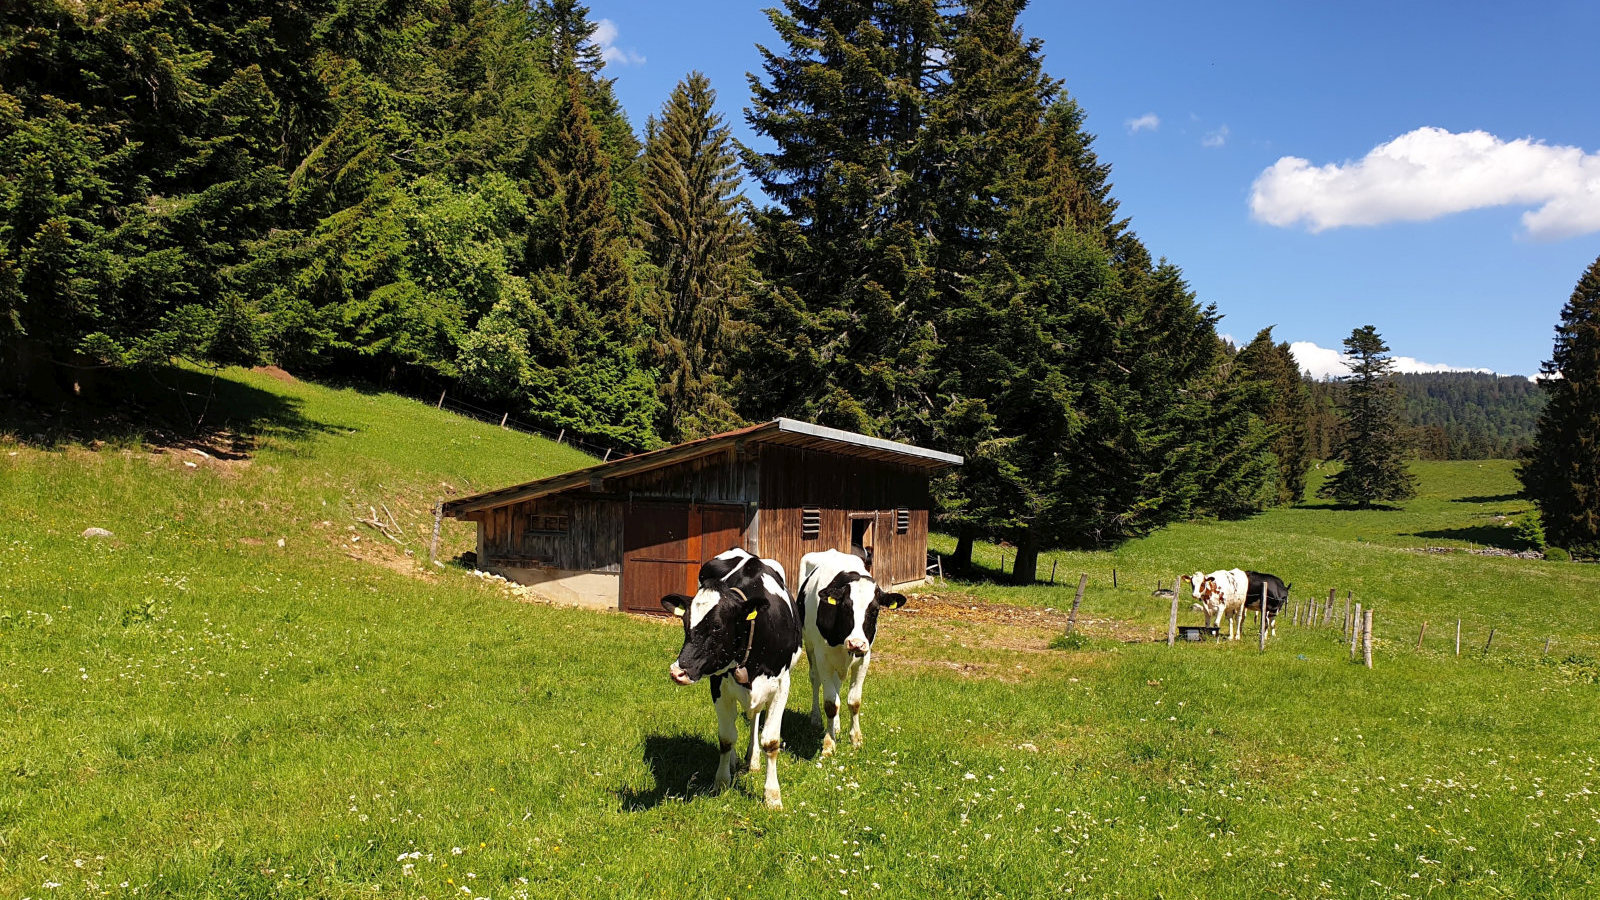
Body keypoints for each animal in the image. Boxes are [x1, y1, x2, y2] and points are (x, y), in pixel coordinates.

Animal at [659, 544, 800, 810]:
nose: (677, 671)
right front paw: (722, 782)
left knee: (755, 717)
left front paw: (772, 796)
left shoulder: (781, 685)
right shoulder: (717, 684)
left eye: (717, 626)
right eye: (685, 623)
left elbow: (771, 742)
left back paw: (752, 759)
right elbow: (726, 738)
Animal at [796, 547, 908, 749]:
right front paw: (829, 744)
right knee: (815, 680)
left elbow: (853, 701)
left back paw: (836, 726)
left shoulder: (864, 658)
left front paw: (855, 739)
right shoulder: (823, 658)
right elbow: (830, 703)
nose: (856, 643)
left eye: (875, 610)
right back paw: (816, 718)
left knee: (837, 686)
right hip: (810, 646)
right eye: (845, 607)